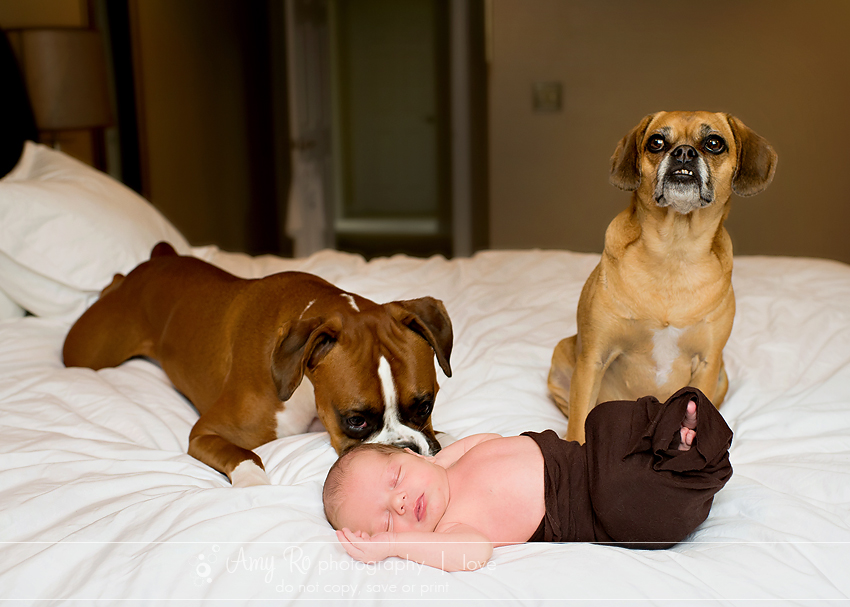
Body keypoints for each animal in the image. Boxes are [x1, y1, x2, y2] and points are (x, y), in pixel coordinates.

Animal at [63, 245, 450, 486]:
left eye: (425, 406)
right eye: (356, 420)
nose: (404, 450)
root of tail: (156, 261)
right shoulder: (205, 433)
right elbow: (245, 455)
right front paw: (254, 485)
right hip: (85, 353)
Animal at [548, 110, 776, 442]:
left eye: (714, 143)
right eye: (656, 142)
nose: (683, 152)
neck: (674, 250)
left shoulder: (708, 363)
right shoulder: (593, 358)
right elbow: (579, 425)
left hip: (721, 376)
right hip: (563, 355)